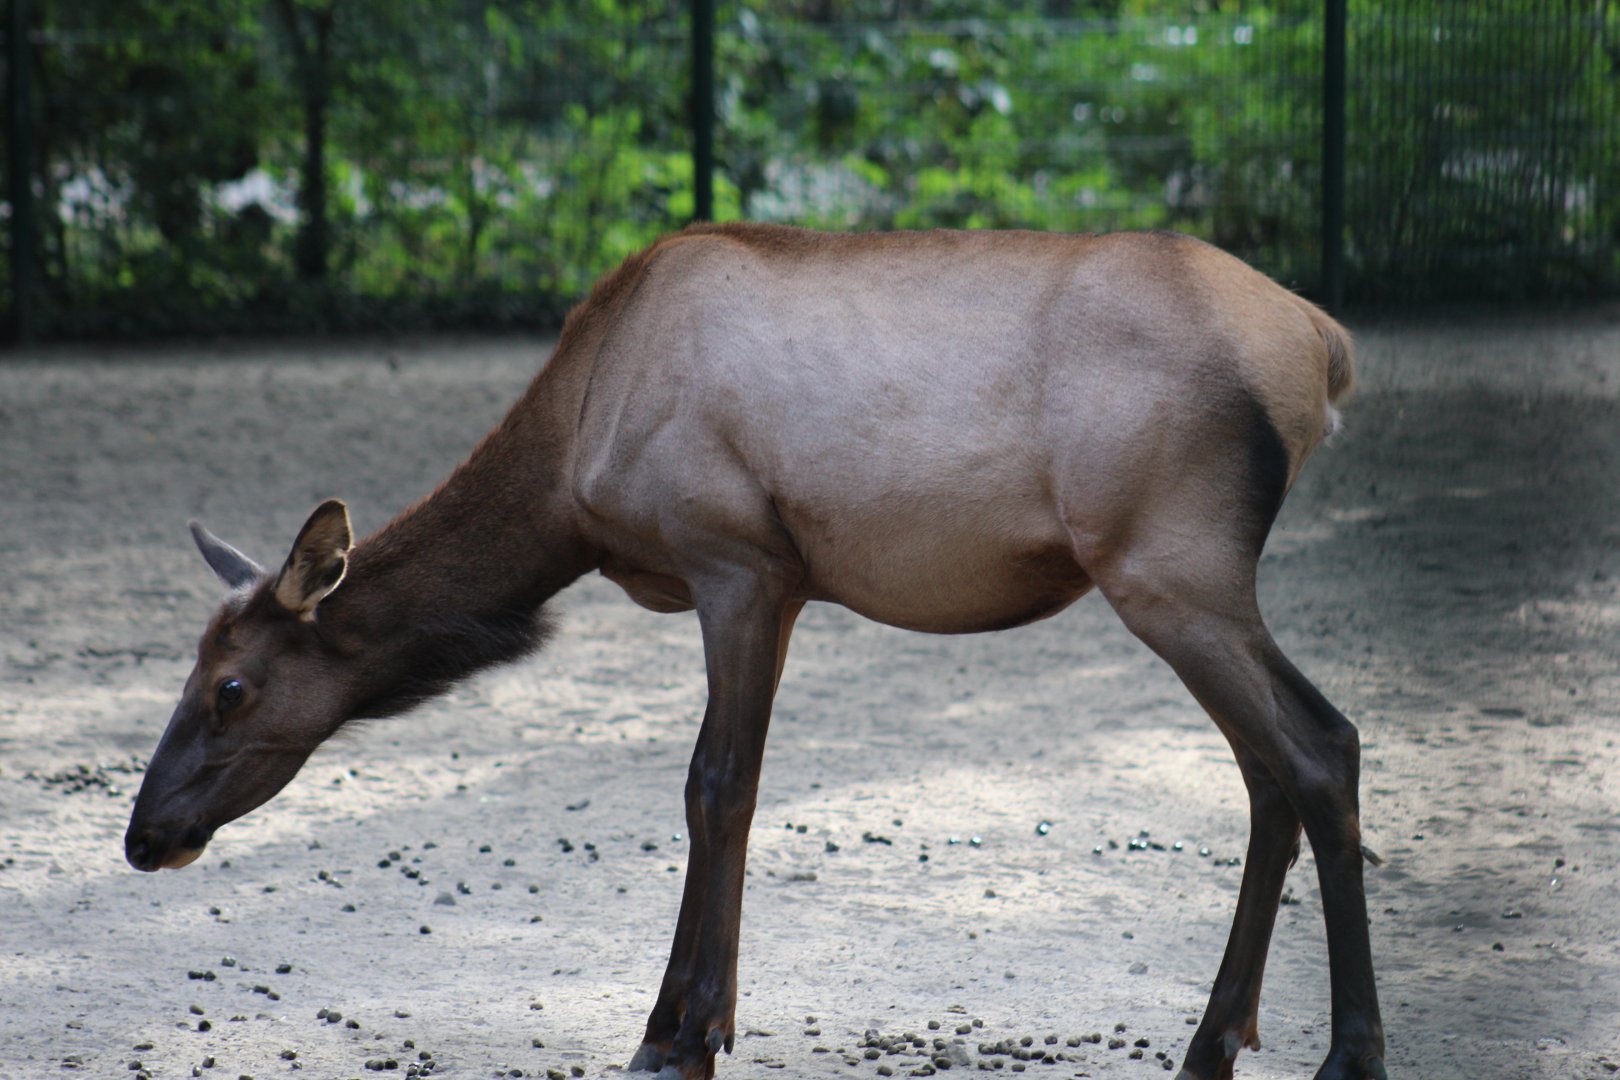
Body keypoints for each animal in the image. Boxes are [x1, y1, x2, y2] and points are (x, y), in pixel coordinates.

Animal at [124, 223, 1385, 1080]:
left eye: (230, 687)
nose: (146, 835)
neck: (571, 471)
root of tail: (1325, 349)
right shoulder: (775, 587)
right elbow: (736, 787)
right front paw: (688, 1019)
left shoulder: (735, 561)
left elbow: (714, 786)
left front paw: (677, 1033)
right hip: (1184, 582)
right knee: (1269, 774)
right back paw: (1214, 1041)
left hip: (1170, 567)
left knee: (1321, 747)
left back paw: (1346, 1053)